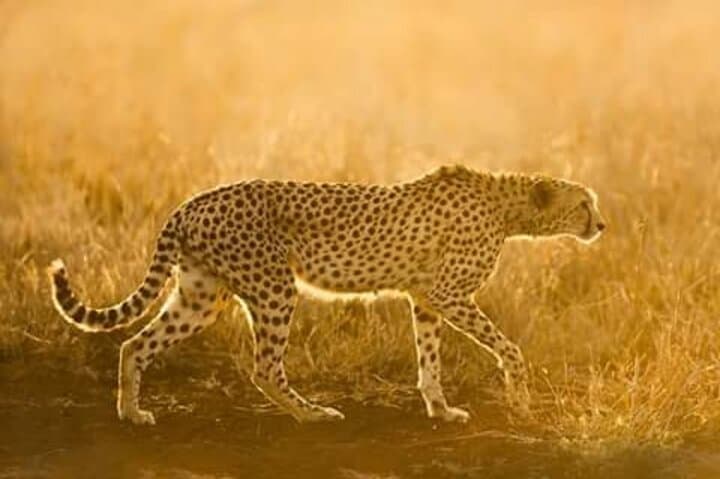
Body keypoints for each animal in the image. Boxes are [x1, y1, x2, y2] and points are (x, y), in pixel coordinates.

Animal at [48, 164, 605, 425]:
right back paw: (311, 414)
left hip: (202, 297)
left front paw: (440, 410)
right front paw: (520, 397)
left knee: (134, 344)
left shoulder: (425, 298)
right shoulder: (447, 294)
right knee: (265, 368)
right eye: (584, 204)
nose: (601, 225)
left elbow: (429, 360)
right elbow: (508, 347)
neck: (507, 207)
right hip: (275, 288)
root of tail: (193, 201)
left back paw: (131, 412)